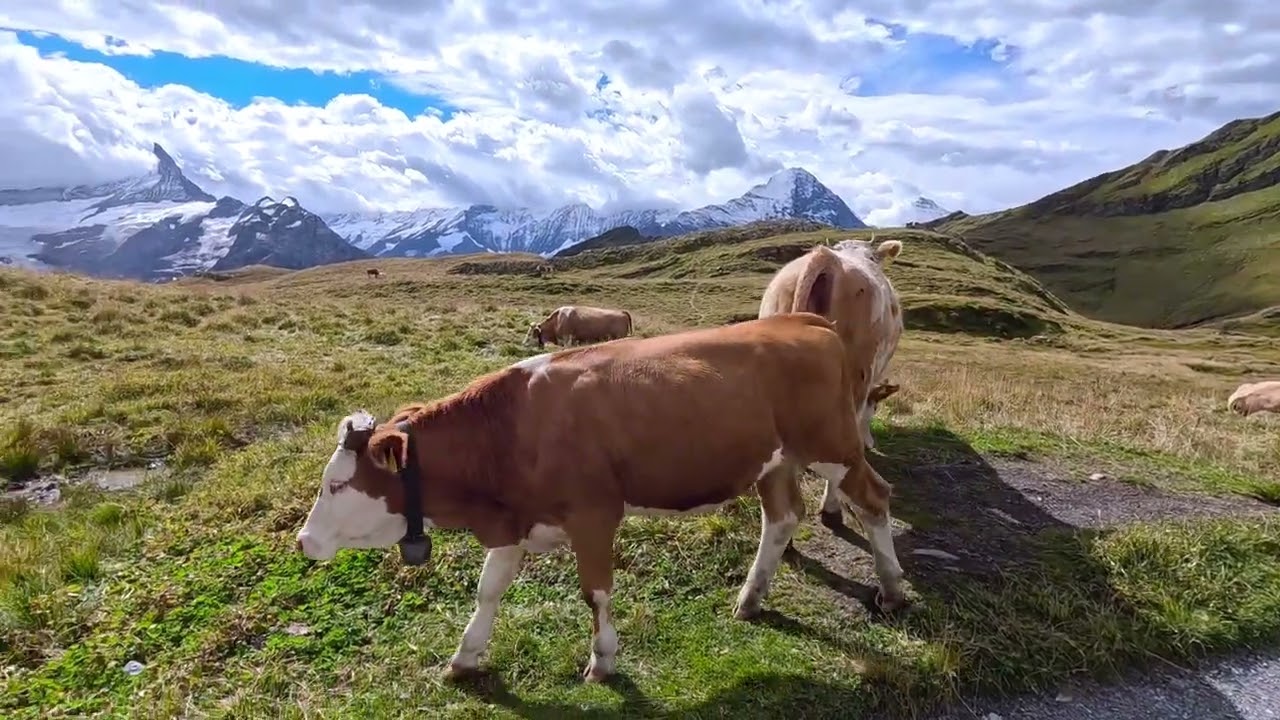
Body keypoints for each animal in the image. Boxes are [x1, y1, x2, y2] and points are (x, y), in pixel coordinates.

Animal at [296, 312, 908, 684]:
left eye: (335, 484)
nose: (303, 542)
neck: (510, 429)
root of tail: (802, 319)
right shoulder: (515, 518)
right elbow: (488, 590)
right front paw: (465, 656)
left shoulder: (593, 516)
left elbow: (595, 593)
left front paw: (603, 659)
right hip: (774, 461)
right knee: (781, 519)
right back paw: (750, 598)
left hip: (833, 447)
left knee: (875, 500)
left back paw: (893, 590)